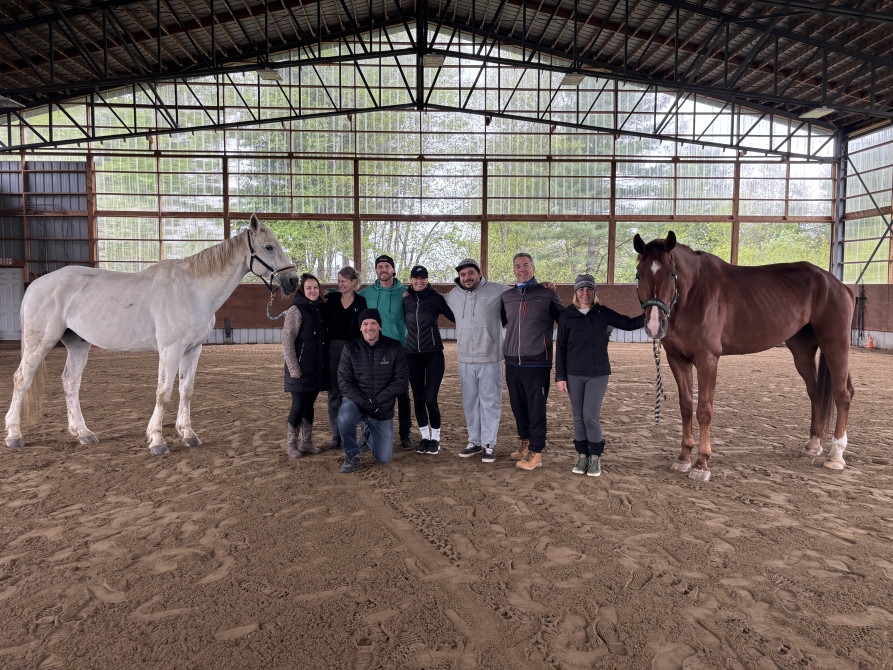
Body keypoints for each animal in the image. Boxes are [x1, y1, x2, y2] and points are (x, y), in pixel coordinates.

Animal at [5, 214, 299, 456]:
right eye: (269, 247)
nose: (293, 281)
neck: (192, 290)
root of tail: (36, 284)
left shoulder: (193, 349)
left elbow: (186, 390)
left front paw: (188, 434)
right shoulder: (170, 349)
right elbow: (163, 392)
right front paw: (157, 440)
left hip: (78, 344)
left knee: (70, 383)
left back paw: (83, 433)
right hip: (40, 342)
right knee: (21, 379)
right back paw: (14, 435)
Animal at [633, 231, 855, 481]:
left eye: (672, 274)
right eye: (639, 274)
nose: (654, 325)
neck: (694, 294)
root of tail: (838, 285)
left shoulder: (708, 359)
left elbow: (704, 410)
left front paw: (701, 464)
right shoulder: (677, 359)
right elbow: (686, 406)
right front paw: (683, 458)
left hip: (835, 345)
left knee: (843, 394)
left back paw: (836, 456)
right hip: (802, 351)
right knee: (815, 392)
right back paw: (813, 445)